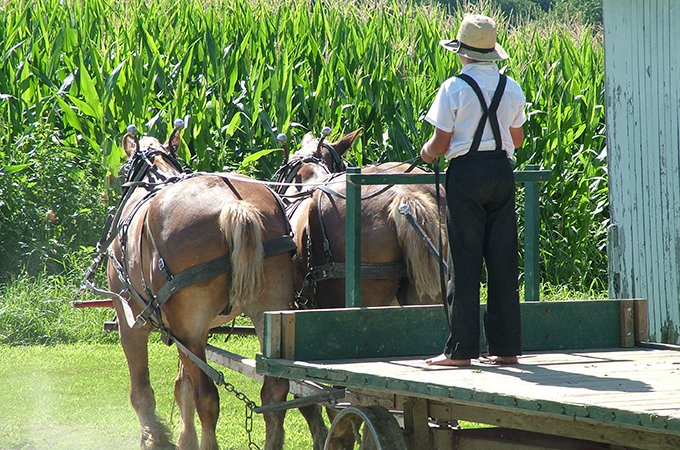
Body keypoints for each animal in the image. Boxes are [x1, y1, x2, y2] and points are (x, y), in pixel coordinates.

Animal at [103, 125, 317, 450]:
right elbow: (182, 387)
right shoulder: (188, 331)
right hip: (271, 308)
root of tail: (235, 206)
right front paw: (183, 438)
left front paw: (155, 438)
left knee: (207, 397)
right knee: (274, 390)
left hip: (188, 329)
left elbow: (142, 392)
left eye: (123, 170)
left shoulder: (132, 323)